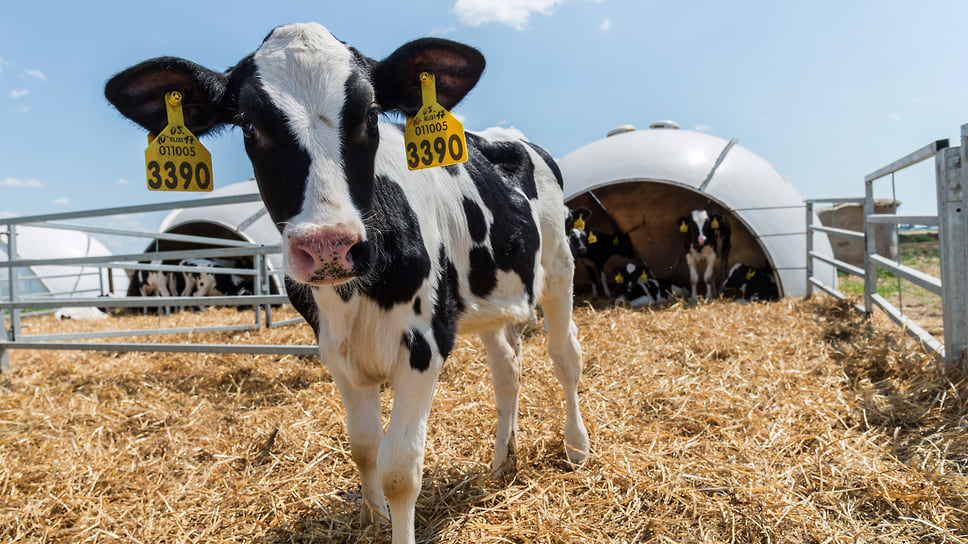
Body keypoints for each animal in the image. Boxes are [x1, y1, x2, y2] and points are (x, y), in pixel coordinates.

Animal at [106, 21, 588, 544]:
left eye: (371, 115)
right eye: (249, 126)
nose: (329, 245)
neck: (352, 295)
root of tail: (509, 137)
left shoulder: (425, 342)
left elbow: (400, 469)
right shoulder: (335, 350)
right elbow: (363, 446)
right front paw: (372, 519)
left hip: (559, 267)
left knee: (565, 356)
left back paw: (576, 448)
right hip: (489, 300)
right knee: (507, 367)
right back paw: (503, 461)